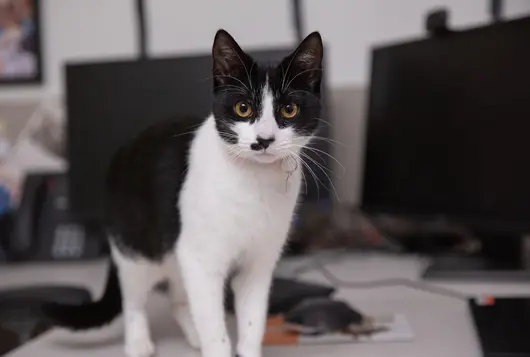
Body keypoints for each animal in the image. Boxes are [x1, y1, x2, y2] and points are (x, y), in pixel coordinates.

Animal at [42, 29, 322, 356]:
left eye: (289, 110)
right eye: (243, 108)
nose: (264, 140)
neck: (255, 183)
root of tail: (125, 149)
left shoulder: (257, 265)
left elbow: (253, 324)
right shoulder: (201, 261)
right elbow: (214, 328)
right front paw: (215, 346)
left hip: (176, 253)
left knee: (178, 299)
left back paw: (192, 335)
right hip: (136, 248)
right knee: (133, 300)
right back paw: (139, 343)